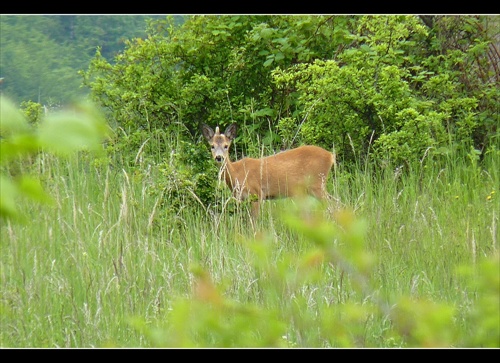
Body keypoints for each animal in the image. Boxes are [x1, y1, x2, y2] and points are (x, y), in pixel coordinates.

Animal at [200, 123, 336, 218]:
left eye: (226, 146)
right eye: (212, 146)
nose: (219, 157)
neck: (236, 173)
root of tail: (330, 156)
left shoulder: (257, 194)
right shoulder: (242, 198)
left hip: (317, 184)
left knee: (333, 205)